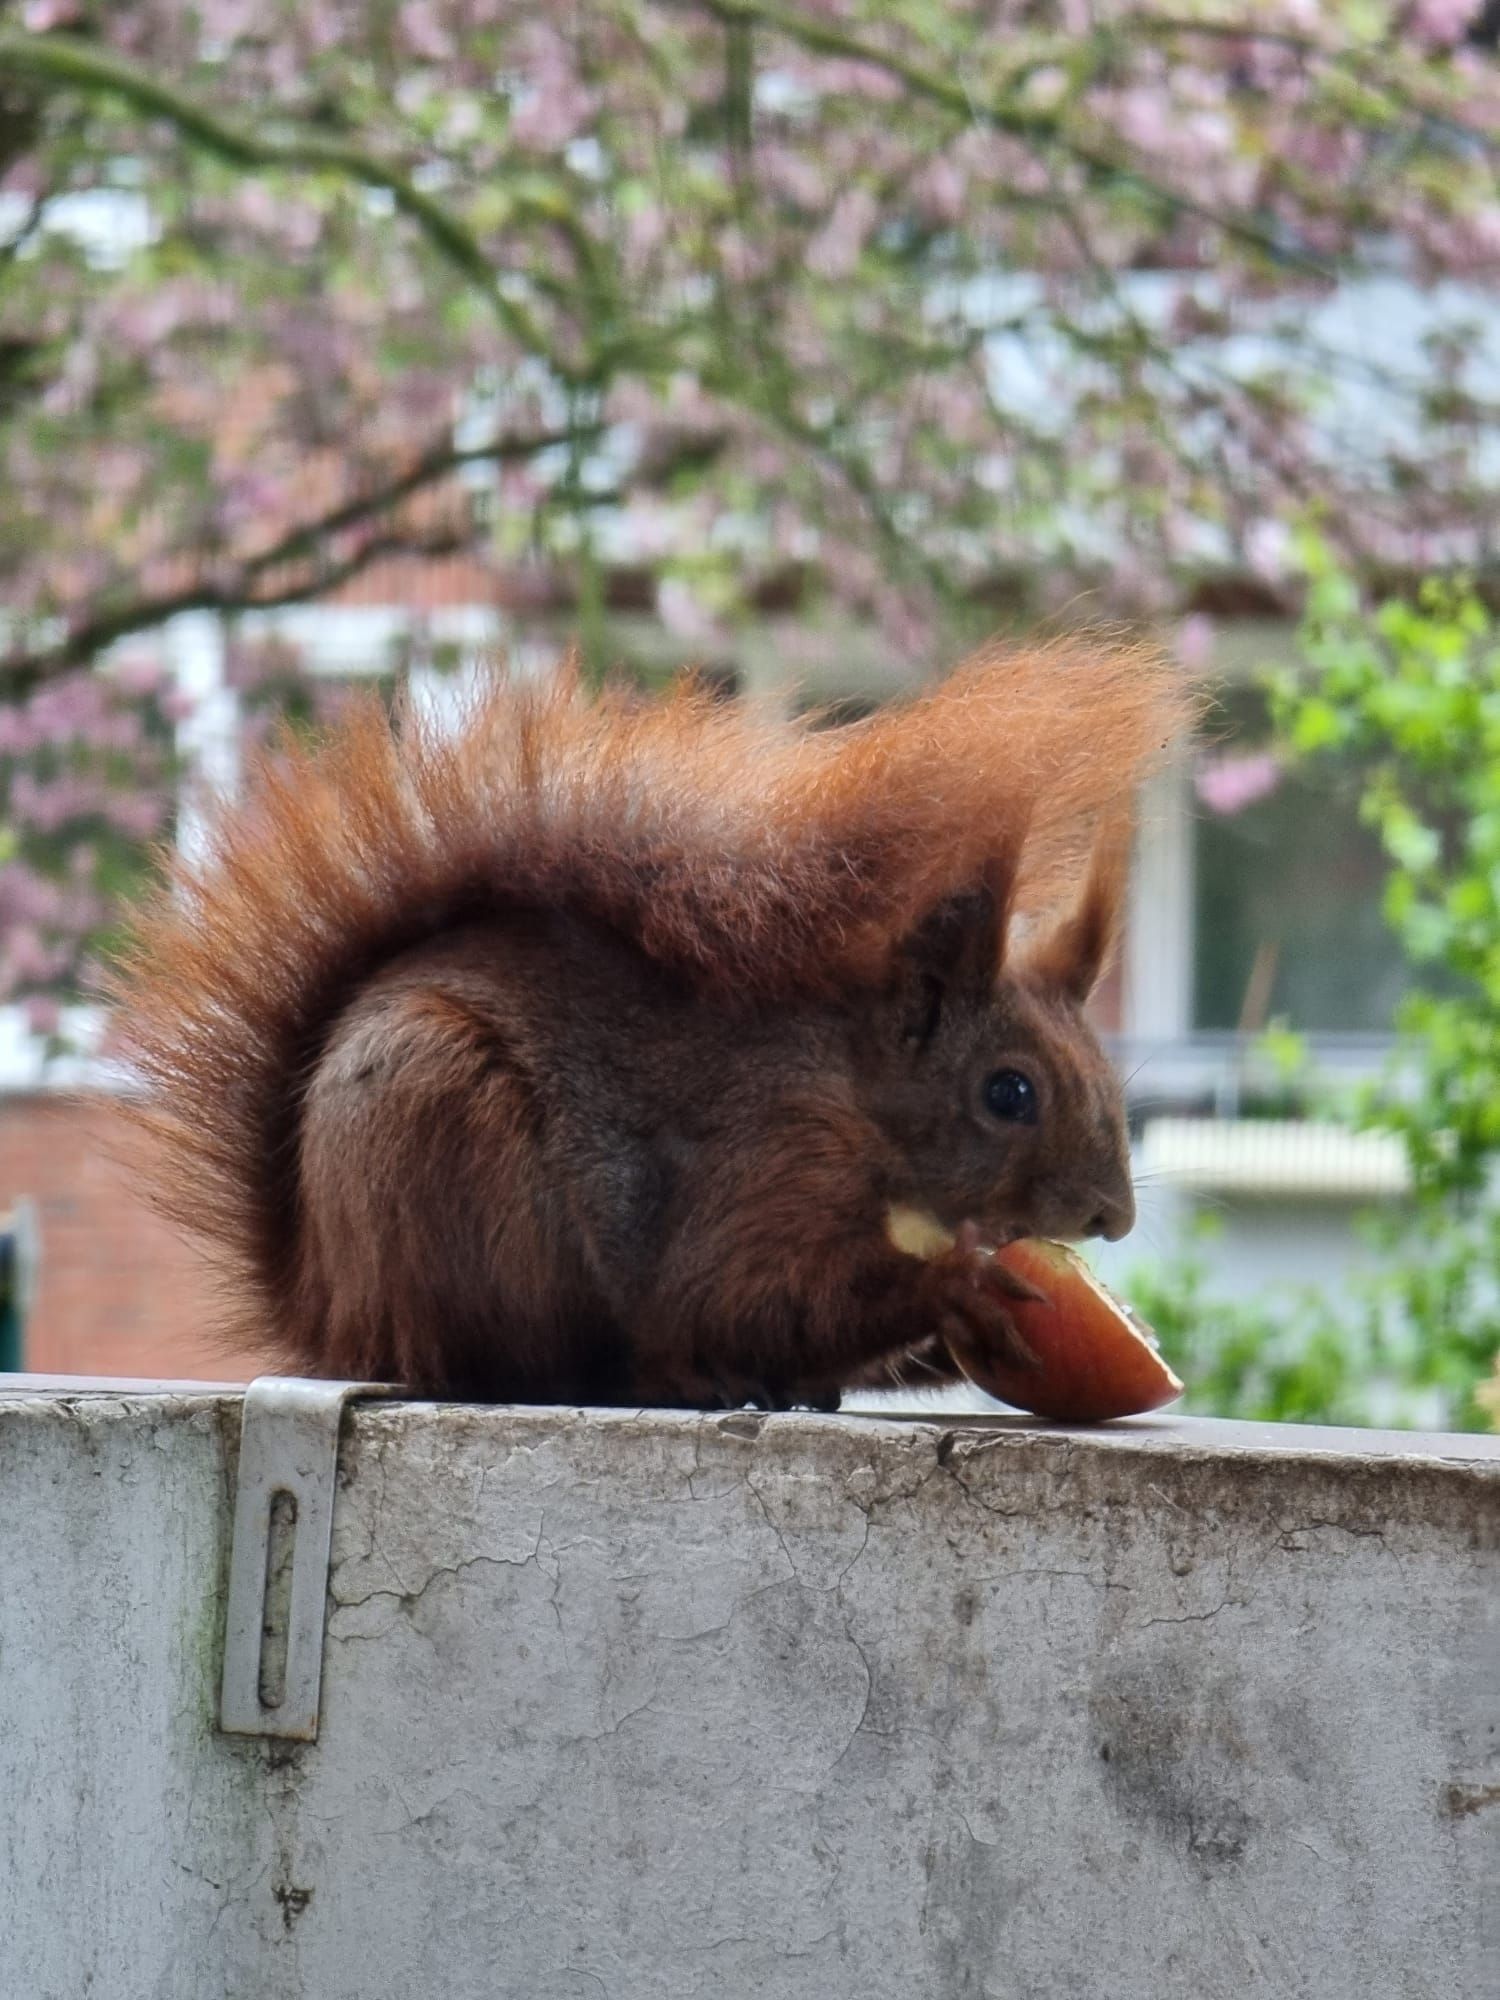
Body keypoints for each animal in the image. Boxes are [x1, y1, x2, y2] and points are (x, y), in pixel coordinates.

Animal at [114, 640, 1184, 1408]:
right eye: (1009, 1093)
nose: (1112, 1219)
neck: (865, 1100)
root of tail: (330, 1305)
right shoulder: (773, 1161)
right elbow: (743, 1297)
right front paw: (953, 1291)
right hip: (449, 1149)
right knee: (535, 1365)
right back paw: (670, 1378)